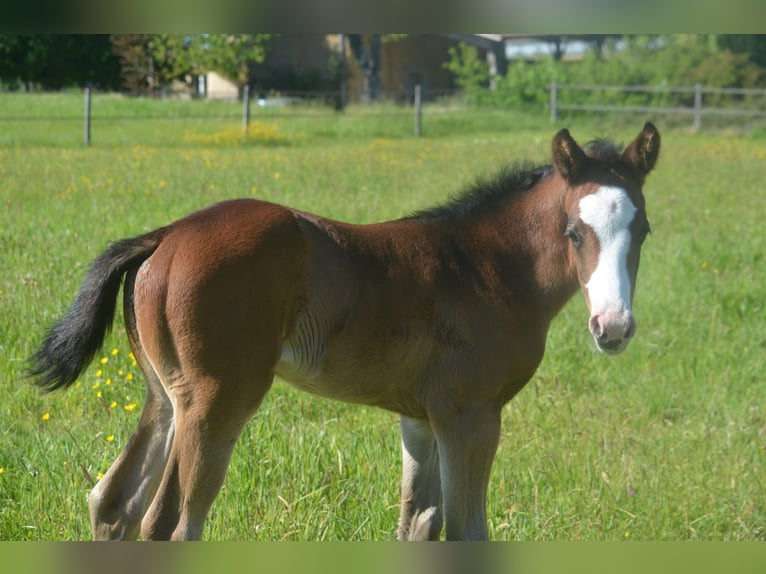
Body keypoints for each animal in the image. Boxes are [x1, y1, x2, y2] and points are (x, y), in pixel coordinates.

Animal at [30, 123, 660, 541]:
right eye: (574, 230)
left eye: (644, 228)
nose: (613, 327)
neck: (486, 266)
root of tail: (166, 234)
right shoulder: (471, 414)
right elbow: (466, 531)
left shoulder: (421, 418)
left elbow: (418, 523)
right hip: (215, 401)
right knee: (170, 524)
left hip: (165, 396)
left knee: (112, 504)